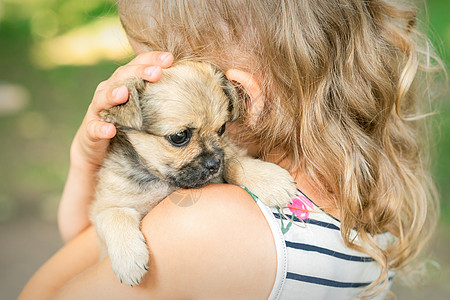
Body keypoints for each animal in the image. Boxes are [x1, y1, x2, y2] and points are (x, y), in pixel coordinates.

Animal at [89, 61, 298, 286]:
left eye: (221, 129)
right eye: (180, 136)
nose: (215, 164)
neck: (162, 180)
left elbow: (234, 161)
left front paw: (268, 179)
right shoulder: (103, 208)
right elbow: (115, 215)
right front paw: (128, 259)